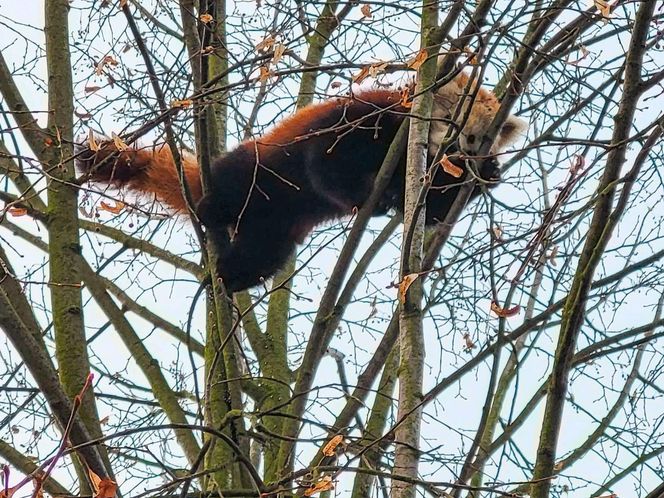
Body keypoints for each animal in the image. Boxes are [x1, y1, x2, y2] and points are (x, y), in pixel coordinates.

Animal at [78, 71, 528, 290]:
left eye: (478, 136)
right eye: (452, 120)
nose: (461, 148)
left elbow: (428, 209)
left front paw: (488, 175)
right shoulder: (365, 120)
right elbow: (326, 165)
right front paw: (367, 196)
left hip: (275, 230)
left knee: (262, 255)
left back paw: (231, 277)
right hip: (257, 168)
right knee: (232, 184)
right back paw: (210, 210)